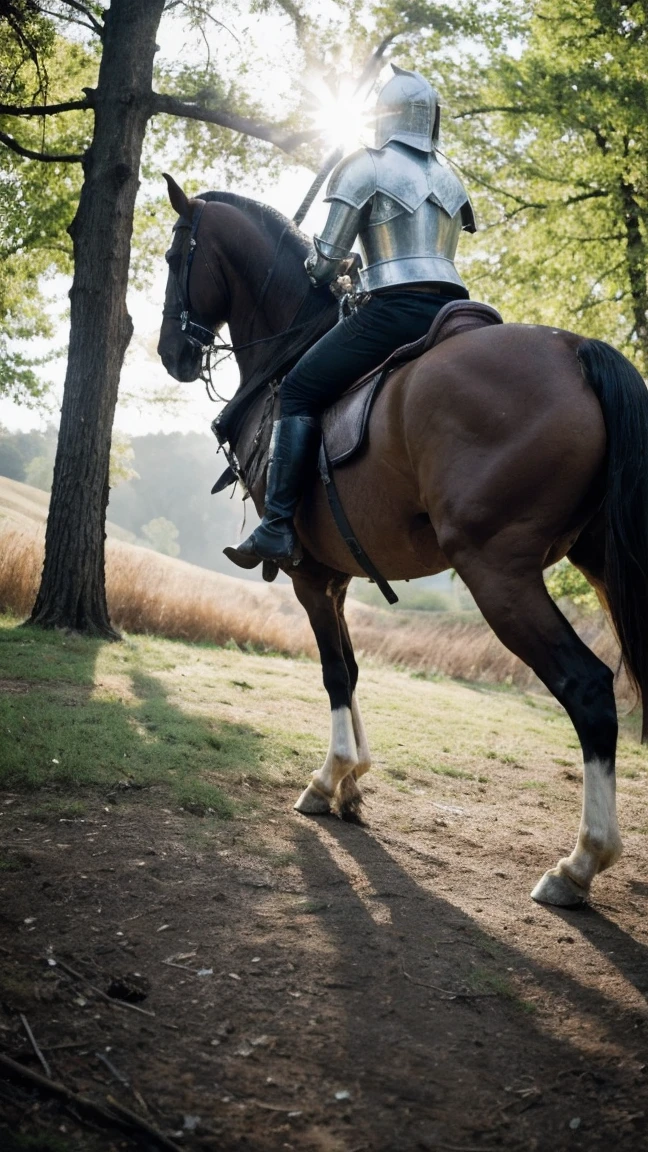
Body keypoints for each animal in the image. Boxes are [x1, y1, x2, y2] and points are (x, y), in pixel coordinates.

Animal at [155, 172, 645, 907]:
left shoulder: (307, 574)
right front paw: (351, 783)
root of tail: (575, 349)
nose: (171, 354)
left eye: (172, 256)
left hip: (496, 572)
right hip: (600, 561)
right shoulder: (335, 574)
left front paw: (329, 778)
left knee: (586, 688)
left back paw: (579, 863)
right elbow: (354, 670)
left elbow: (334, 670)